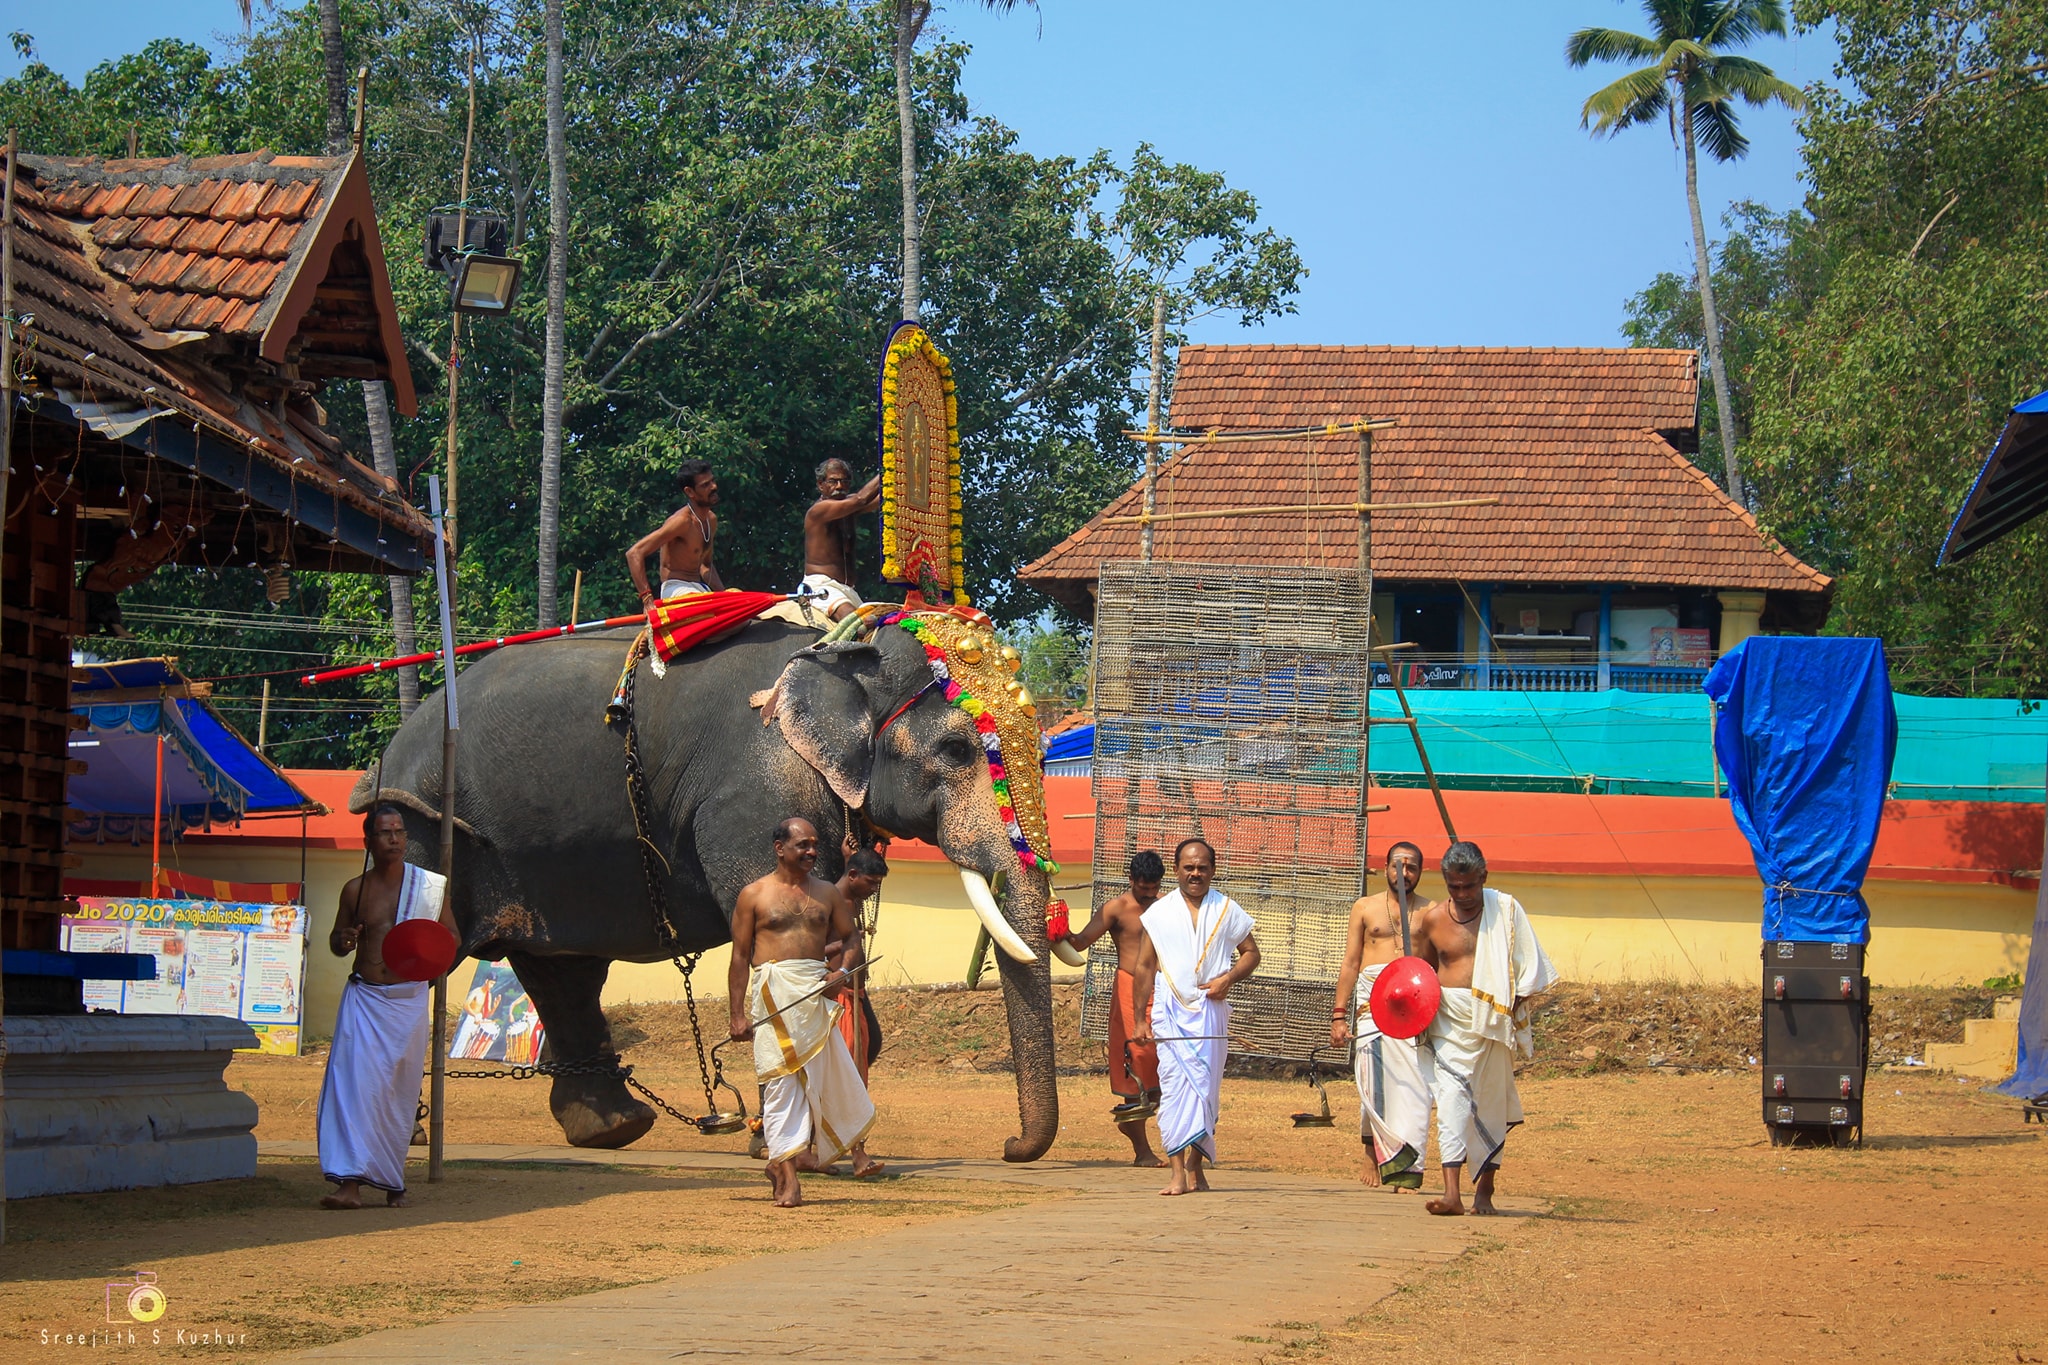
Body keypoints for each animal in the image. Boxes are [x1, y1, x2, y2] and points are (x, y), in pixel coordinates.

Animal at [352, 609, 1064, 1162]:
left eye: (1040, 753)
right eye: (957, 750)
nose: (1010, 1148)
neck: (845, 646)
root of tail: (397, 741)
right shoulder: (753, 798)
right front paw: (789, 1144)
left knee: (564, 969)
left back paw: (615, 1129)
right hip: (420, 824)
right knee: (427, 955)